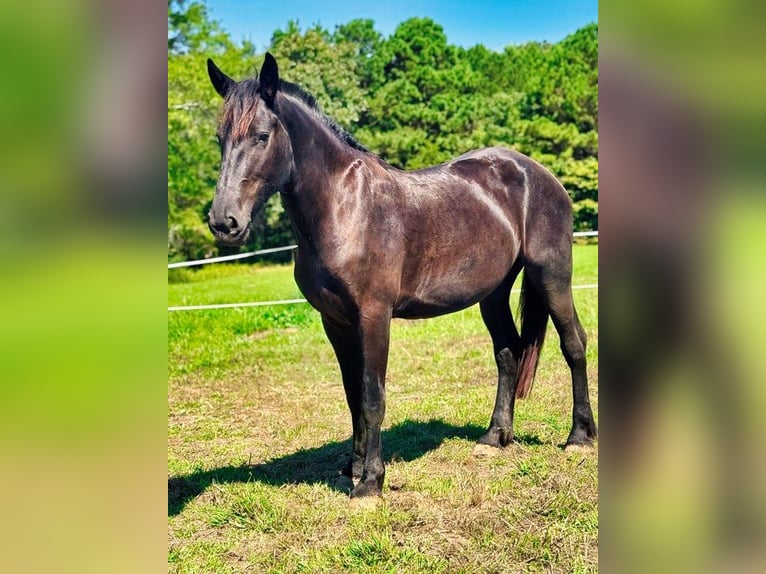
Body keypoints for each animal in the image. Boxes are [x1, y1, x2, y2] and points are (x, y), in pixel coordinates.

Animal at [207, 56, 596, 502]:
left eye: (262, 136)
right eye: (220, 138)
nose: (224, 222)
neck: (345, 207)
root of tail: (536, 172)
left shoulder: (374, 316)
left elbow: (373, 397)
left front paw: (370, 484)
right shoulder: (335, 321)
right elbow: (353, 396)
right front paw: (354, 467)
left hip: (551, 275)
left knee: (574, 344)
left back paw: (579, 438)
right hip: (493, 293)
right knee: (508, 352)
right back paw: (495, 437)